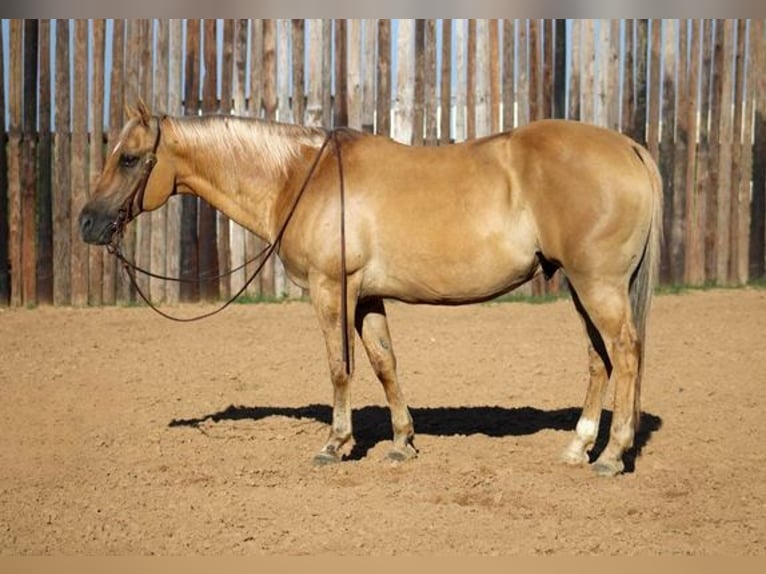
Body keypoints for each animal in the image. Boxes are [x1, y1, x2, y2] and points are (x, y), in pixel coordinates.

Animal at [79, 101, 664, 480]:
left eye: (128, 158)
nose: (87, 223)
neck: (299, 178)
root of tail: (629, 146)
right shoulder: (366, 297)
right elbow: (385, 364)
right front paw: (402, 443)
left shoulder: (329, 289)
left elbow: (340, 367)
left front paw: (335, 445)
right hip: (583, 288)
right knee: (599, 360)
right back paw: (578, 446)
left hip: (597, 286)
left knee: (625, 354)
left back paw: (612, 455)